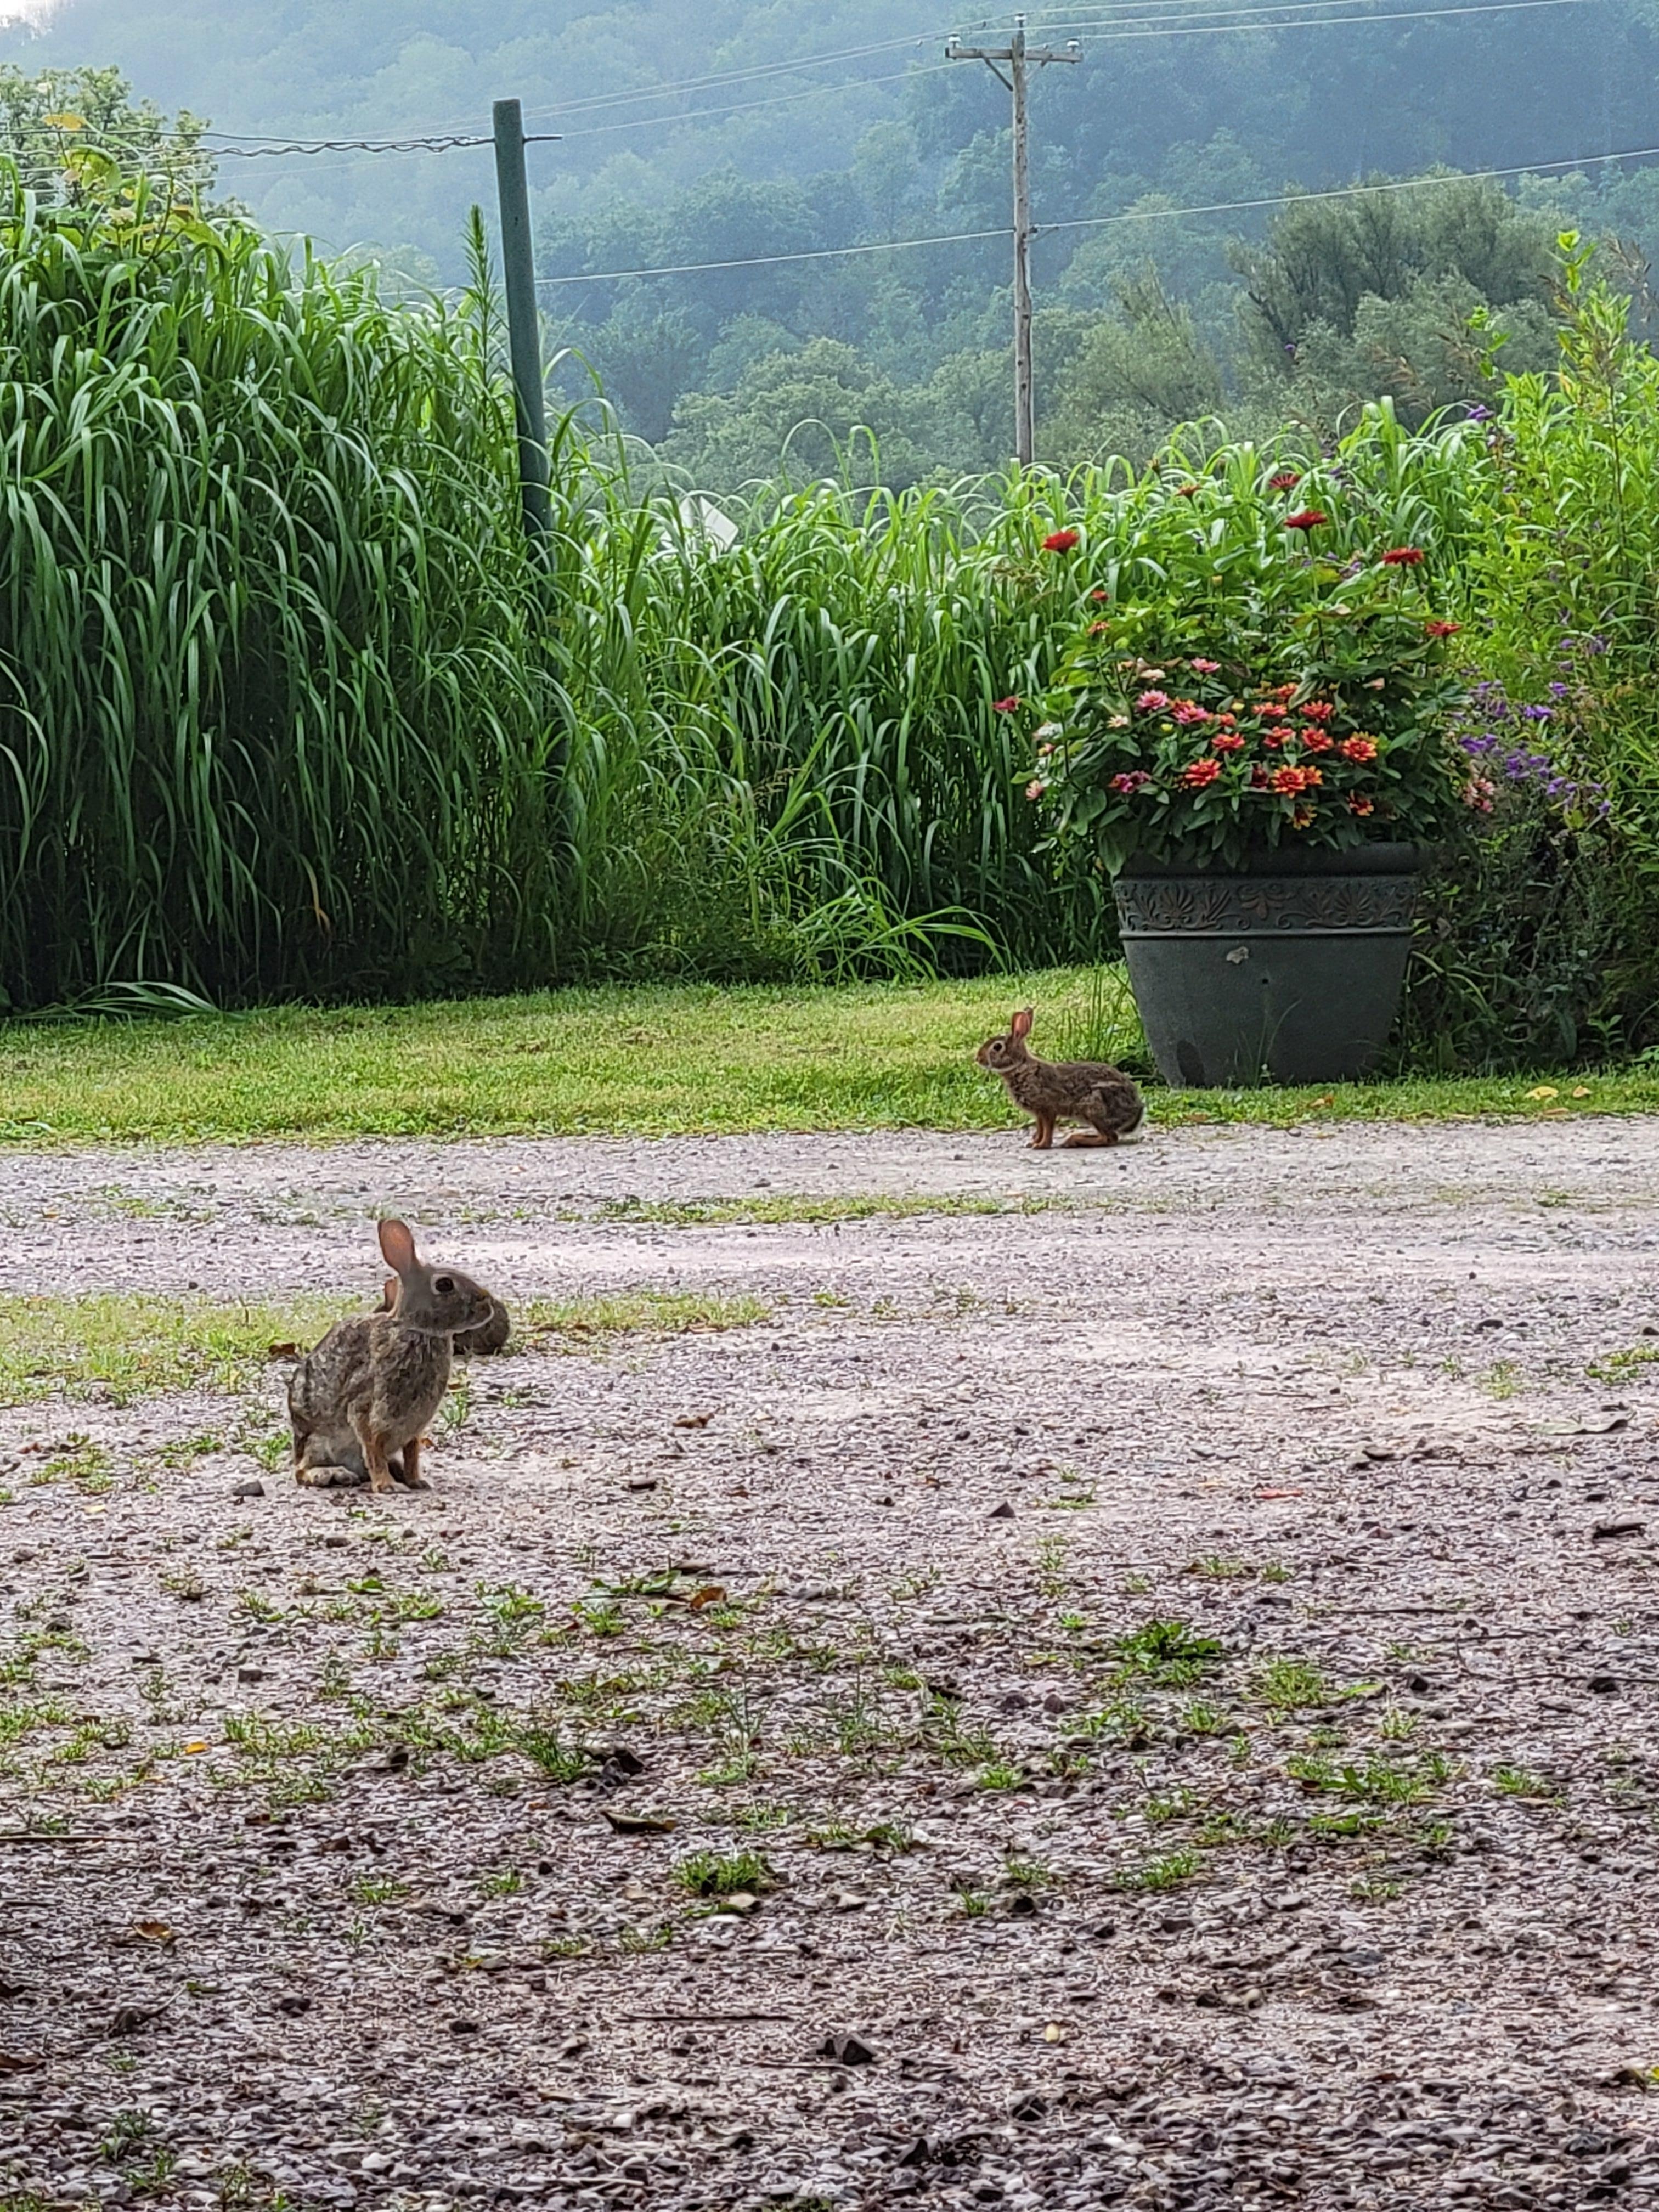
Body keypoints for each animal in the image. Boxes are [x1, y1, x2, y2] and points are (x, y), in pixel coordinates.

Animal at [288, 1218, 496, 1493]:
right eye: (444, 1285)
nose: (487, 1303)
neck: (416, 1329)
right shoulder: (366, 1408)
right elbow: (373, 1448)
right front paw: (387, 1486)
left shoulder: (413, 1427)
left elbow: (412, 1453)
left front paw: (417, 1482)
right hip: (319, 1442)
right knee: (301, 1471)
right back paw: (332, 1475)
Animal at [976, 1007, 1146, 1150]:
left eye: (997, 1047)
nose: (978, 1059)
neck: (1020, 1067)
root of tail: (1136, 1111)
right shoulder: (1038, 1113)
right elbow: (1040, 1128)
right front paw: (1034, 1142)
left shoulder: (1047, 1108)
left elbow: (1047, 1129)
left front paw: (1041, 1146)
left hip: (1094, 1106)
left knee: (1110, 1138)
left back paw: (1073, 1140)